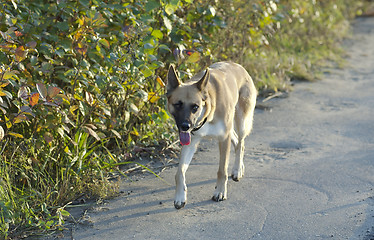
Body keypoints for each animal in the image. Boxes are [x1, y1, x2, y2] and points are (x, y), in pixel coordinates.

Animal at [167, 62, 258, 210]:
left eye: (195, 107)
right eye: (178, 104)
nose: (185, 126)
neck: (208, 109)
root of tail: (239, 66)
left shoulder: (224, 139)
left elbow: (222, 171)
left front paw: (220, 192)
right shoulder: (191, 142)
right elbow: (179, 172)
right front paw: (180, 196)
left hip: (242, 121)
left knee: (241, 144)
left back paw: (237, 169)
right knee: (237, 141)